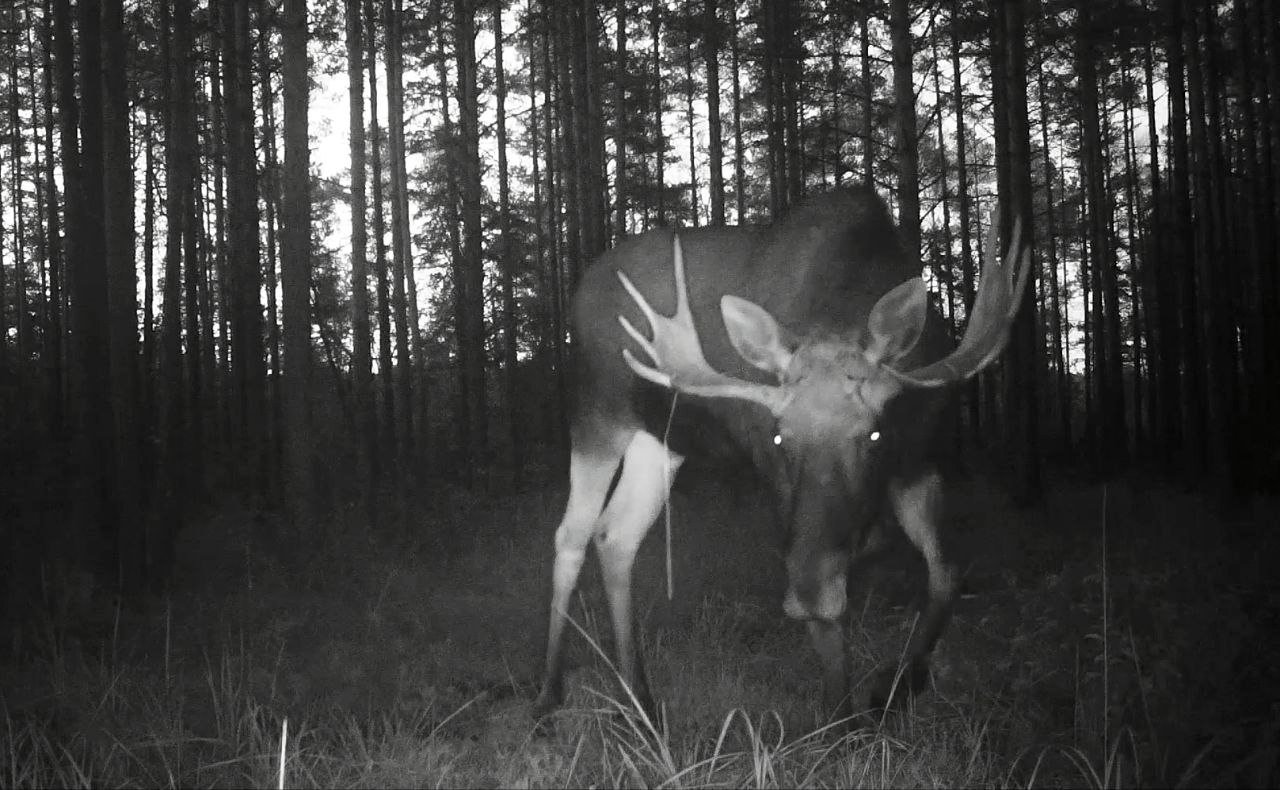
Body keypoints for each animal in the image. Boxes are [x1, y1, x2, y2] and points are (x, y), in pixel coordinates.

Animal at [532, 185, 1031, 729]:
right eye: (778, 438)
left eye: (875, 436)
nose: (809, 591)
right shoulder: (776, 479)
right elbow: (828, 603)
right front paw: (843, 720)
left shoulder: (919, 459)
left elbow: (945, 571)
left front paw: (894, 688)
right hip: (597, 414)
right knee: (571, 533)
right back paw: (548, 698)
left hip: (660, 441)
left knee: (615, 534)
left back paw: (640, 700)